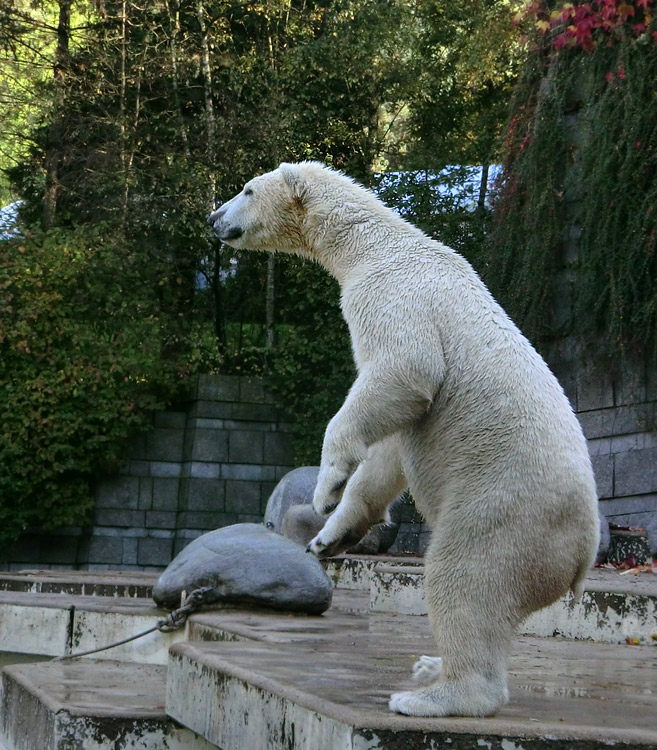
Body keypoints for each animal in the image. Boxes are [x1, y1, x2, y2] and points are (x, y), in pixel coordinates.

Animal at [209, 162, 600, 720]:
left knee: (465, 577)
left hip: (507, 509)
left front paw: (325, 488)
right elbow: (389, 451)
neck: (377, 245)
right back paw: (430, 665)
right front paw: (330, 533)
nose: (213, 217)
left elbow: (405, 371)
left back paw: (432, 694)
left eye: (247, 190)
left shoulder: (392, 295)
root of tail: (583, 554)